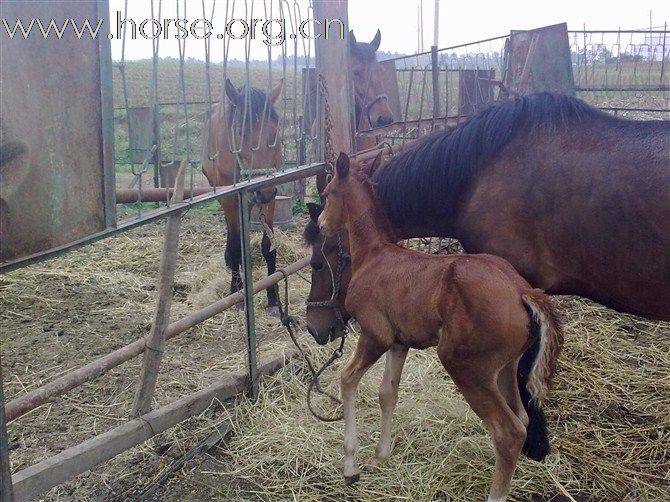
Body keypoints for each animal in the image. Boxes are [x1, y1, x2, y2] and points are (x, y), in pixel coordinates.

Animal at [200, 78, 284, 314]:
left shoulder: (270, 196)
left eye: (275, 131)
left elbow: (268, 246)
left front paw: (272, 297)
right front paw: (236, 294)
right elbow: (236, 244)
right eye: (240, 132)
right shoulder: (229, 197)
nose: (262, 188)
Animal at [318, 151, 564, 500]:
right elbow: (387, 393)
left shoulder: (375, 335)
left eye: (327, 194)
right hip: (505, 366)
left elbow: (348, 378)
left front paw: (351, 466)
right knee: (522, 416)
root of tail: (522, 291)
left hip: (464, 364)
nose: (322, 224)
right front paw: (381, 456)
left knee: (508, 431)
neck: (375, 256)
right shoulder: (400, 342)